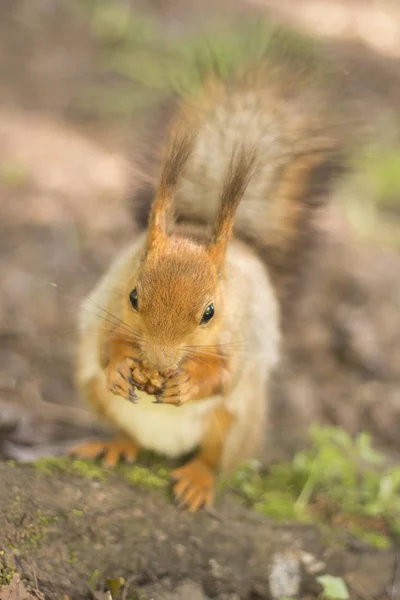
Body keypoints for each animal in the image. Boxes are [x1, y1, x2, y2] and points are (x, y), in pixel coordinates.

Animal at [70, 31, 352, 510]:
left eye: (209, 312)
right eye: (133, 297)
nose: (160, 361)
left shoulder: (241, 334)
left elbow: (224, 374)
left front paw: (187, 383)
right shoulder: (108, 301)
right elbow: (107, 345)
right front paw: (123, 365)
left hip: (238, 423)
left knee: (214, 455)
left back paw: (198, 480)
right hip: (94, 392)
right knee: (126, 429)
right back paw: (116, 444)